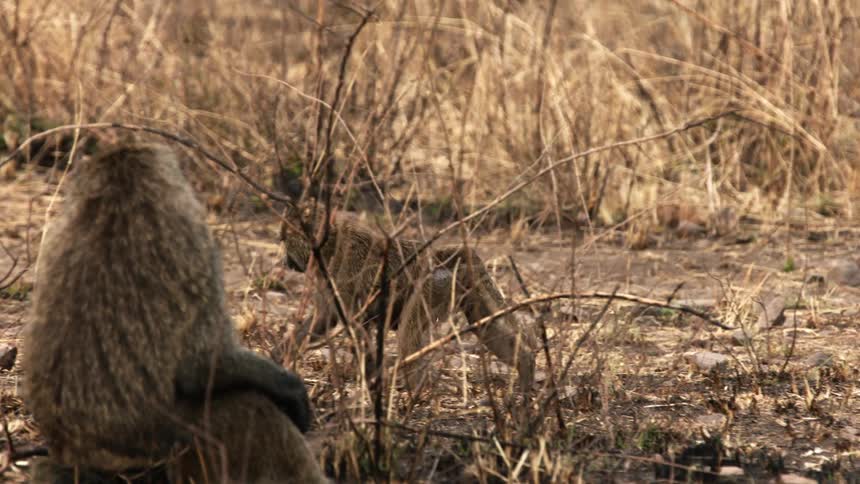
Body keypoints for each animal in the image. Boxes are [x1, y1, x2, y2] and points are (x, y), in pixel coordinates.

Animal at [21, 144, 328, 483]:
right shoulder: (194, 241)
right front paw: (291, 389)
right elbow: (200, 367)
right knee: (246, 402)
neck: (118, 199)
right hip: (167, 451)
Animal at [280, 206, 537, 392]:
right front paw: (280, 356)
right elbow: (324, 318)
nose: (286, 262)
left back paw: (416, 392)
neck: (330, 242)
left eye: (285, 240)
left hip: (430, 287)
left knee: (408, 334)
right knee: (485, 325)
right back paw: (526, 369)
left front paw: (373, 383)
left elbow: (351, 326)